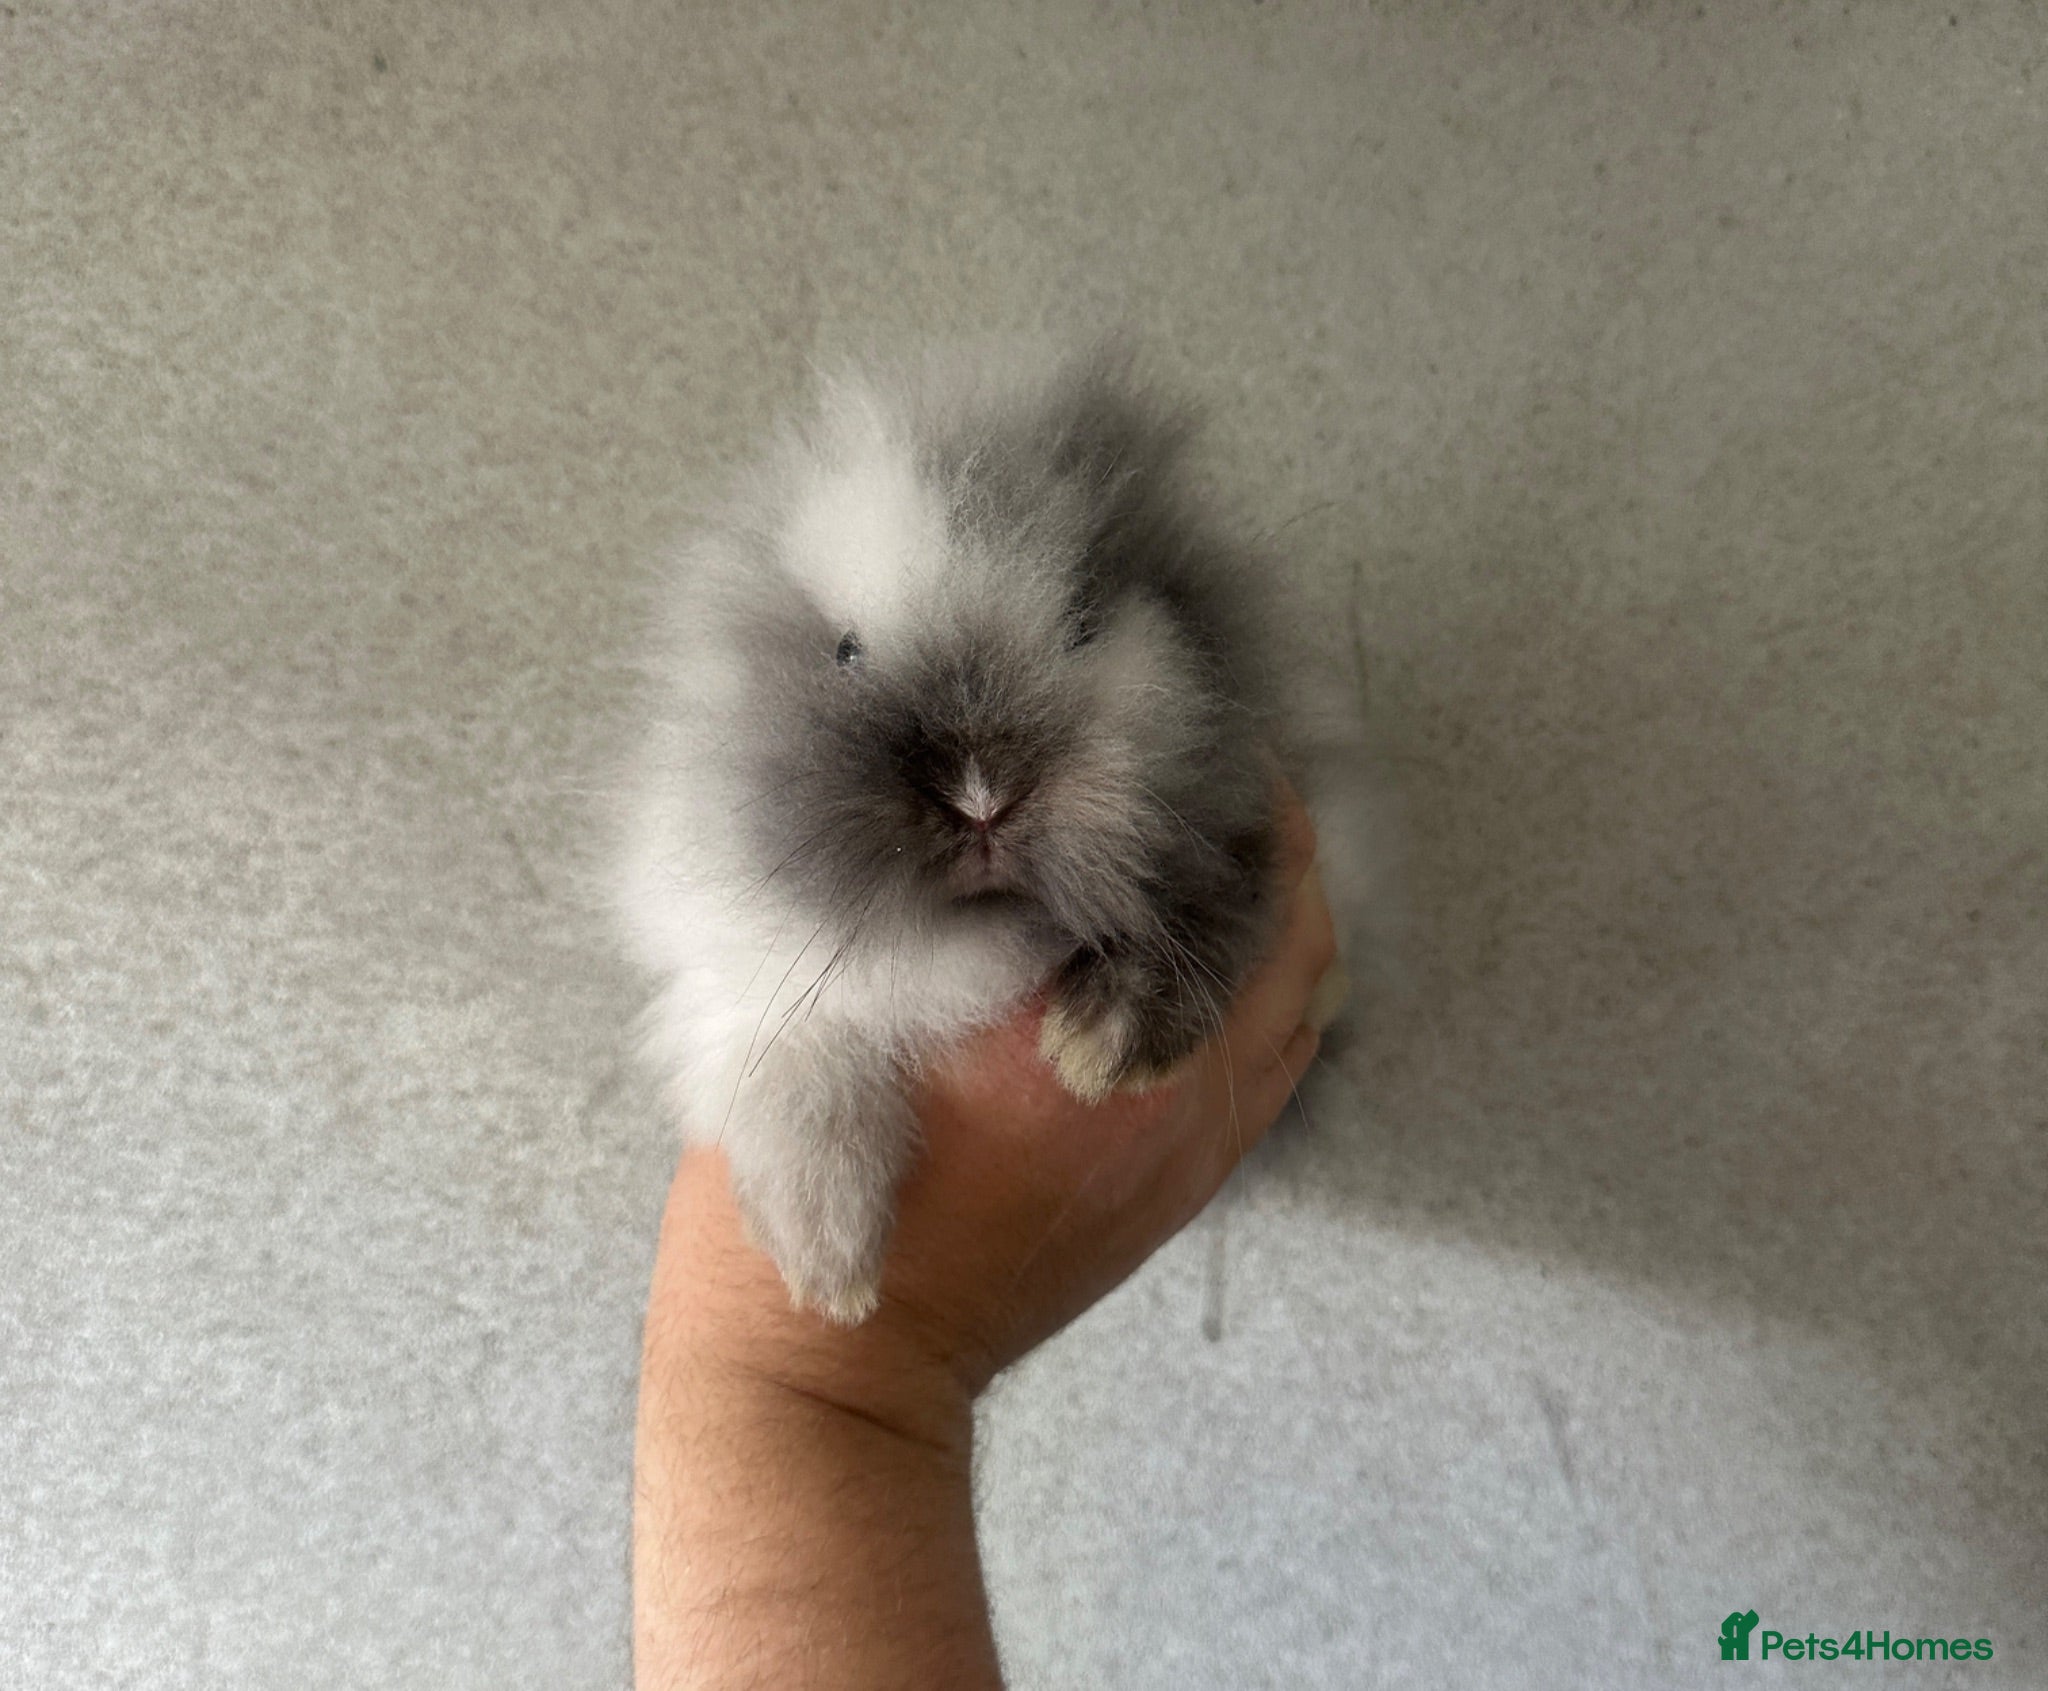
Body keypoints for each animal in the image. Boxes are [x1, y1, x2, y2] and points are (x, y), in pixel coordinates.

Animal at [611, 343, 1385, 1324]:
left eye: (1085, 621)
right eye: (845, 652)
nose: (981, 797)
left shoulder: (1264, 830)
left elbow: (1216, 902)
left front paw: (1098, 1048)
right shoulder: (747, 998)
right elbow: (800, 1093)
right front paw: (832, 1270)